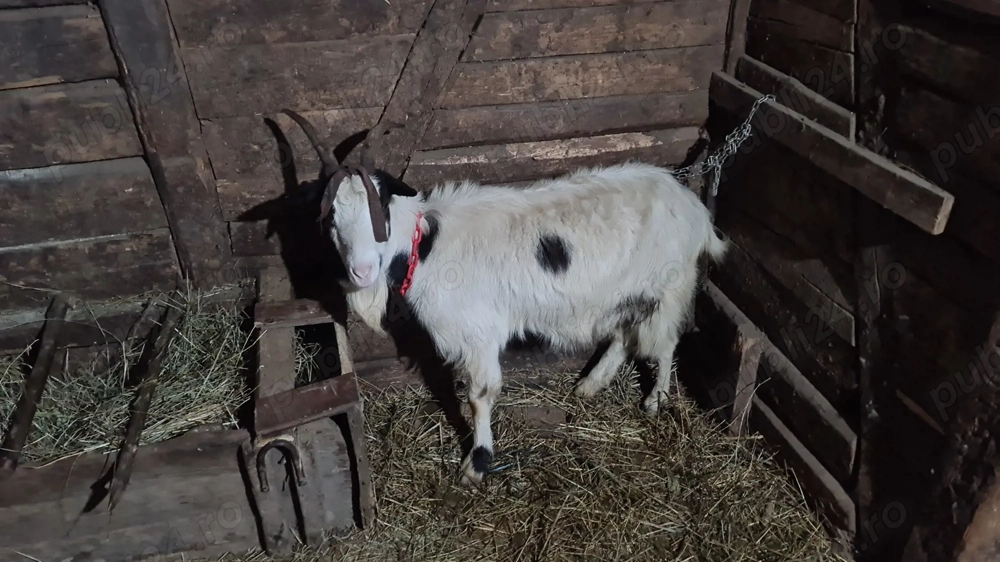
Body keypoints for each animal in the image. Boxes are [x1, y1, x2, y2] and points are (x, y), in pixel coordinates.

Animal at [282, 109, 729, 486]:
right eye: (330, 215)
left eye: (382, 209)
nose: (361, 271)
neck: (425, 245)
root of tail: (692, 206)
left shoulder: (478, 333)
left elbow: (480, 396)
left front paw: (477, 463)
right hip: (625, 292)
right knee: (623, 333)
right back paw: (590, 385)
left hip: (670, 286)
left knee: (665, 341)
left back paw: (655, 400)